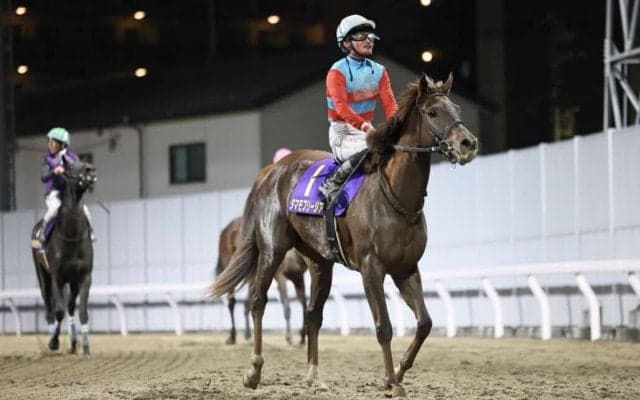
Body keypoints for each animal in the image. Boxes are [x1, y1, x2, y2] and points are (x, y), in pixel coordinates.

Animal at [31, 158, 97, 356]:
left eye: (84, 161)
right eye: (71, 167)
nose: (91, 169)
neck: (72, 235)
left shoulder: (84, 277)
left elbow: (82, 311)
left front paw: (86, 348)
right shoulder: (57, 277)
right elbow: (58, 311)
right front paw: (54, 342)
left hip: (72, 281)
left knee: (70, 306)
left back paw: (74, 343)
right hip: (43, 275)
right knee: (49, 306)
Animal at [216, 217, 308, 345]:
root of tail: (226, 229)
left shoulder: (298, 277)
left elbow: (304, 304)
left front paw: (302, 337)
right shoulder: (281, 277)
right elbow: (287, 307)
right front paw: (289, 338)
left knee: (248, 302)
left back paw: (248, 335)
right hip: (230, 269)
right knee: (232, 302)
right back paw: (232, 337)